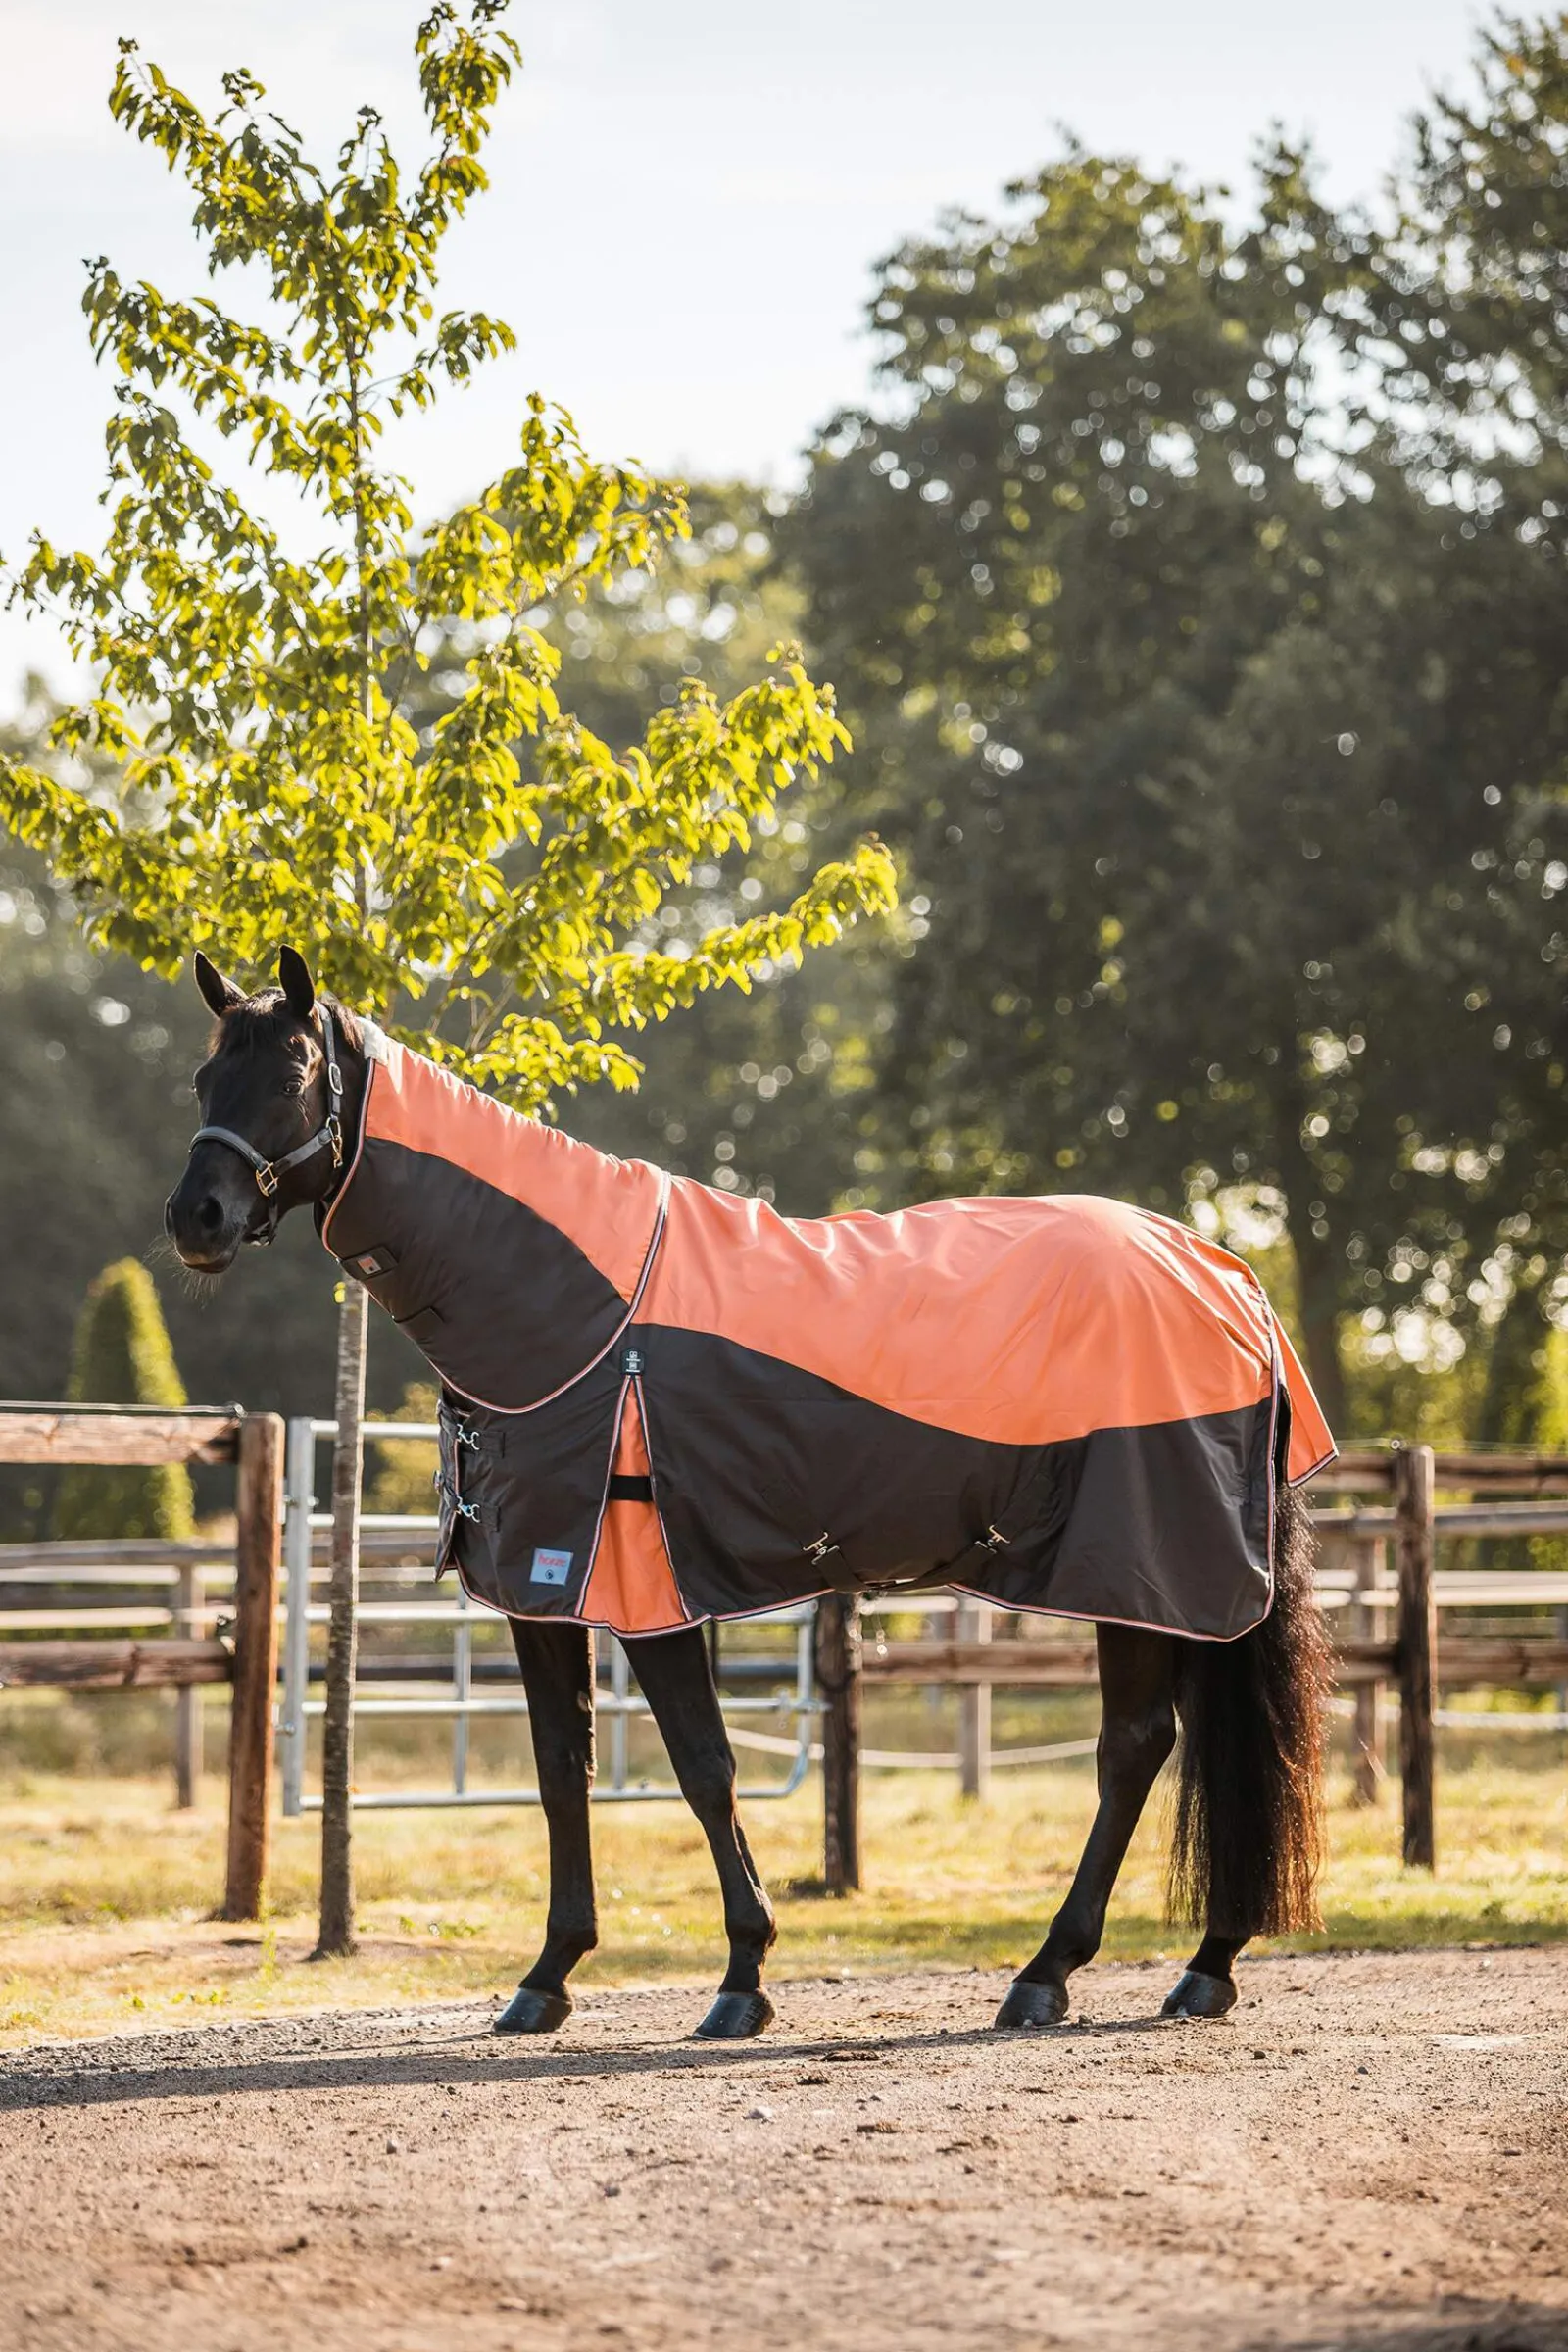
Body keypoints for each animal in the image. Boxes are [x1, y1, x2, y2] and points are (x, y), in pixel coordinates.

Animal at [165, 946, 1331, 2042]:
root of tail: (1227, 1276)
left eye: (295, 1073)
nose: (196, 1218)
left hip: (1136, 1572)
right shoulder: (543, 1594)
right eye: (204, 1078)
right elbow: (561, 1767)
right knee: (1190, 1745)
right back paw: (1203, 1963)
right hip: (1172, 1589)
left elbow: (704, 1767)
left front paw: (740, 1980)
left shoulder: (648, 1590)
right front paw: (548, 1976)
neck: (580, 1312)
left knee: (1133, 1748)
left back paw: (1054, 1972)